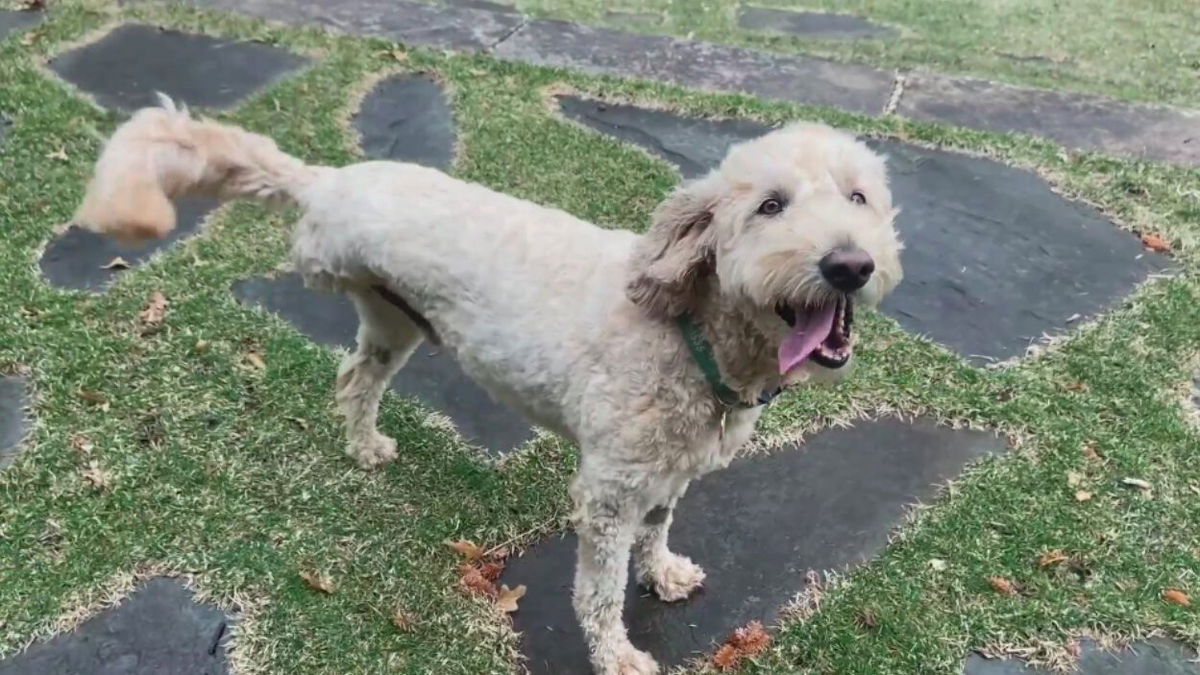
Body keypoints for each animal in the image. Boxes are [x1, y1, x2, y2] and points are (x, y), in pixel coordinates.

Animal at [75, 98, 902, 672]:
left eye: (858, 198)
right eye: (769, 206)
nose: (848, 264)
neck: (688, 329)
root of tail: (332, 179)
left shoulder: (668, 467)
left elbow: (659, 527)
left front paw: (663, 569)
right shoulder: (608, 491)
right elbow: (599, 587)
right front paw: (616, 652)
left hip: (393, 321)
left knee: (355, 375)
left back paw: (364, 444)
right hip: (342, 273)